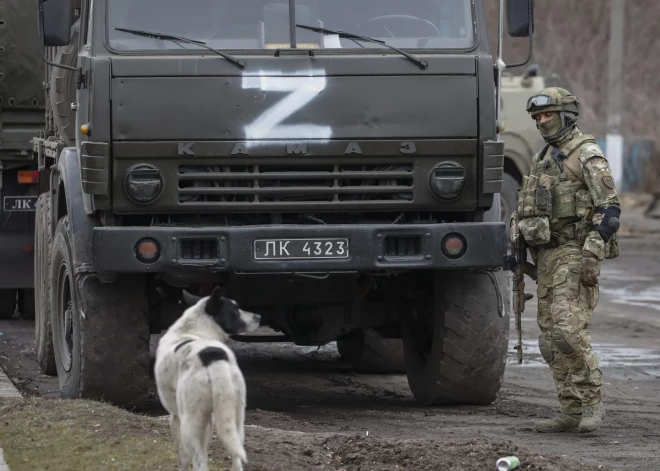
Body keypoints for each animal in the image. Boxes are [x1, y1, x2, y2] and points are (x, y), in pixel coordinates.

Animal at [155, 288, 260, 471]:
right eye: (235, 310)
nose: (259, 317)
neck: (191, 328)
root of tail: (213, 358)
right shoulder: (209, 421)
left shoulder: (175, 417)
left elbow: (182, 458)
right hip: (236, 419)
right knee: (236, 458)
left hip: (189, 424)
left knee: (199, 462)